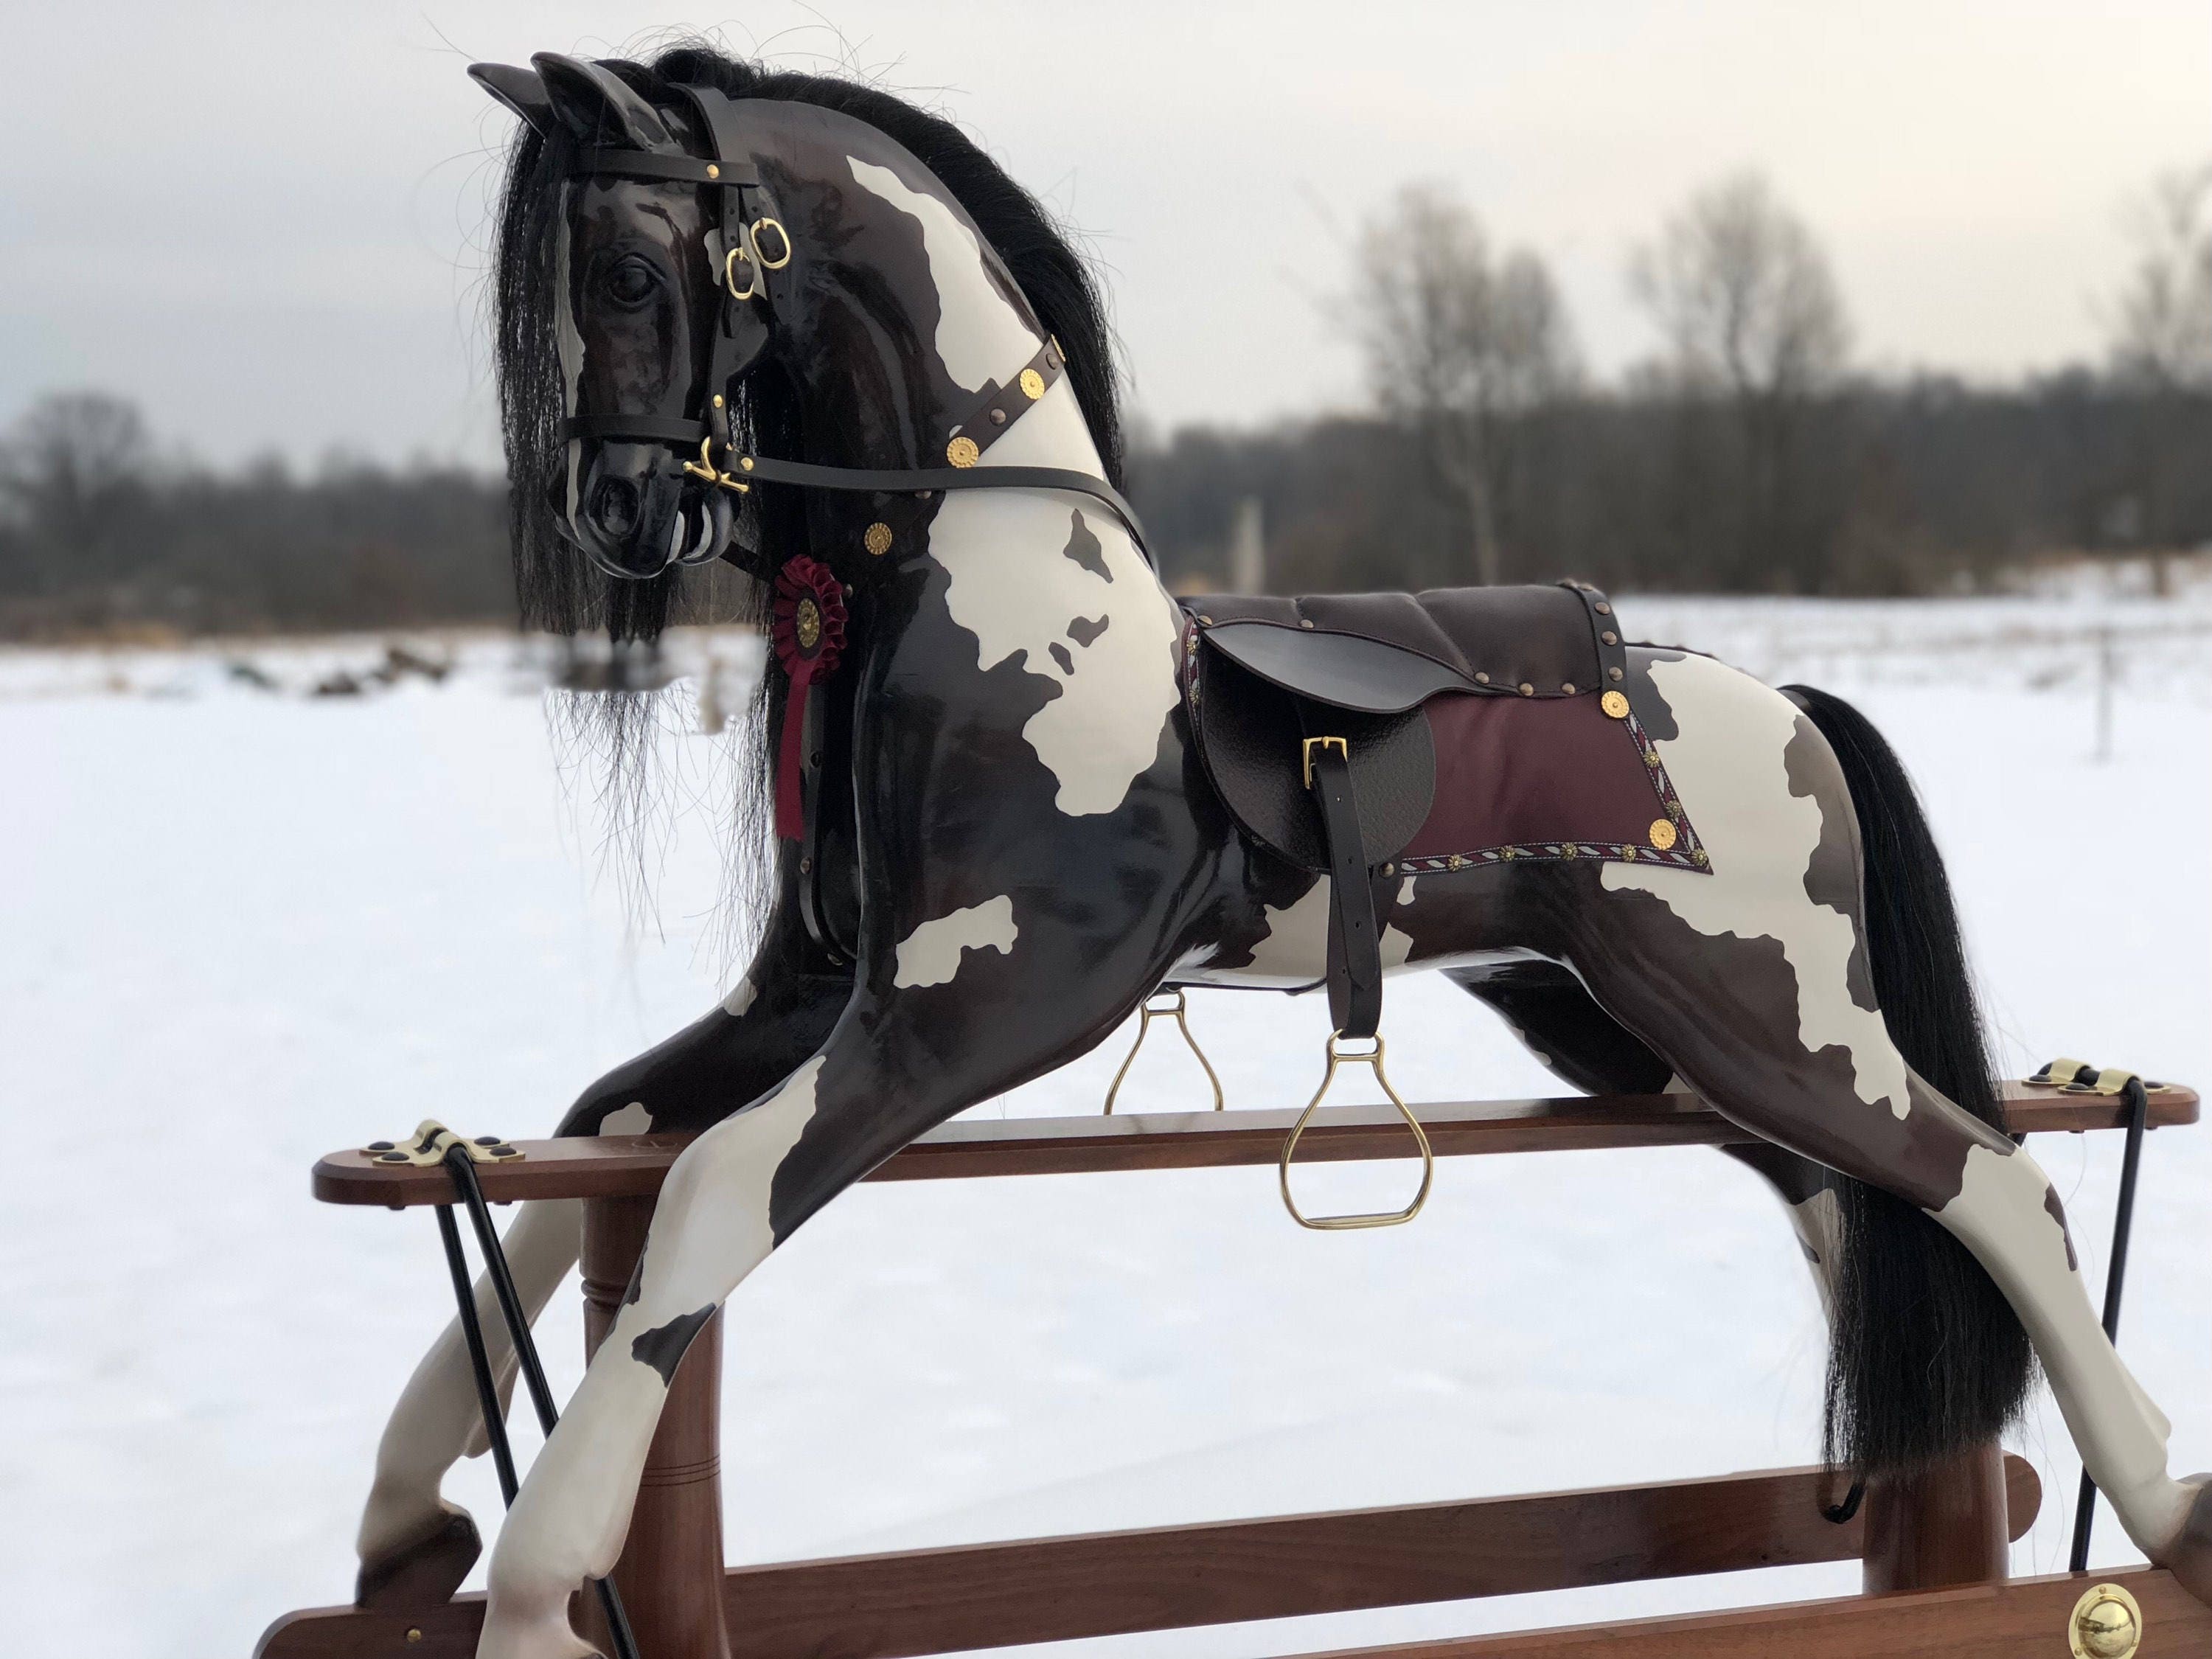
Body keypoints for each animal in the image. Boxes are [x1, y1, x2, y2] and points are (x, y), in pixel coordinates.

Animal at [350, 44, 2212, 1659]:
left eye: (628, 271)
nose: (619, 514)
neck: (977, 595)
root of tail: (1797, 712)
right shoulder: (815, 997)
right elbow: (598, 1131)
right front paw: (403, 1519)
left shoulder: (975, 1005)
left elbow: (706, 1194)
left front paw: (538, 1588)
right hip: (1638, 1027)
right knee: (1860, 1205)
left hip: (1764, 1014)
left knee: (1997, 1181)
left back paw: (2165, 1507)